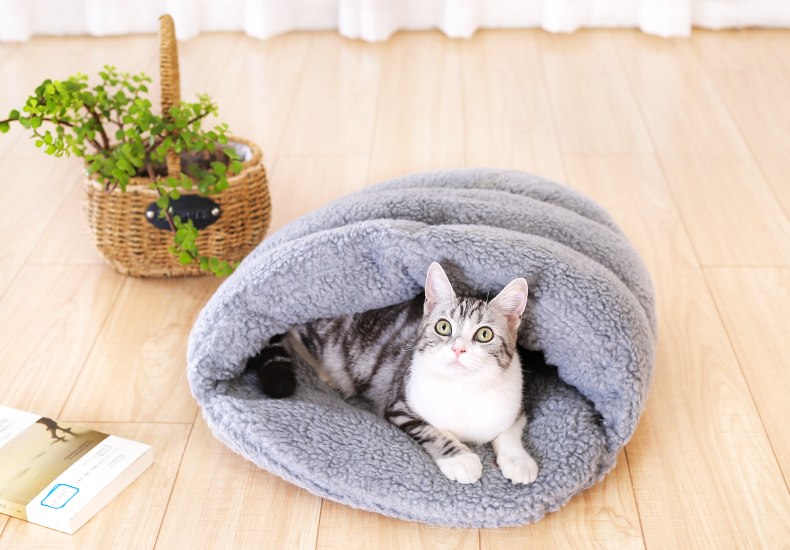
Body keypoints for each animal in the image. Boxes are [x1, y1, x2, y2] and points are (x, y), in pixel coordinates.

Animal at [246, 262, 539, 485]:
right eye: (443, 327)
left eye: (485, 334)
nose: (458, 349)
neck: (464, 387)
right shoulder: (399, 403)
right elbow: (431, 431)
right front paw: (460, 459)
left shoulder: (516, 402)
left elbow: (510, 430)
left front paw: (519, 460)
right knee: (292, 334)